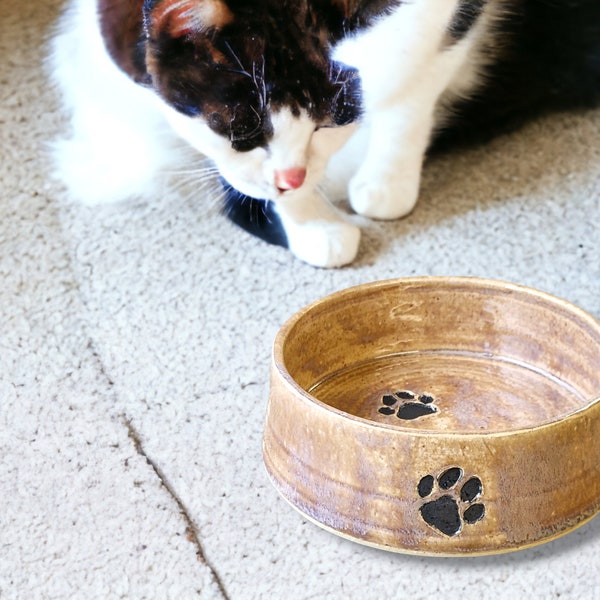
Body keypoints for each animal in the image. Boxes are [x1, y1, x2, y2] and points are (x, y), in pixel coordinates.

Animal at [51, 0, 600, 268]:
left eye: (329, 114)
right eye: (239, 125)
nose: (292, 181)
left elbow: (418, 75)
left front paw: (386, 183)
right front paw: (311, 223)